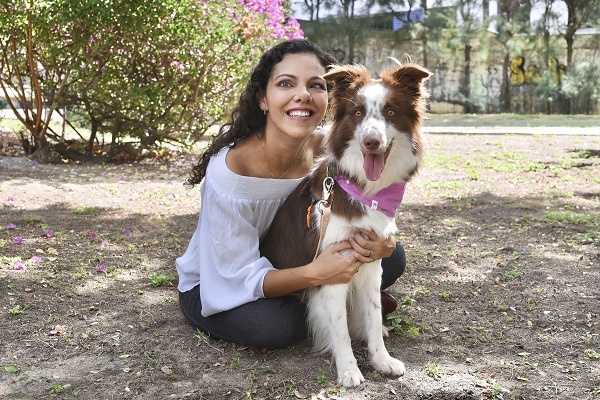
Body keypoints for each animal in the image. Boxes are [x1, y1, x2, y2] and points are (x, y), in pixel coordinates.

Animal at [260, 61, 428, 386]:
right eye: (358, 113)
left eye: (390, 111)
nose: (371, 142)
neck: (364, 188)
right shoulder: (333, 267)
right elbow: (339, 330)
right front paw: (349, 369)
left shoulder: (372, 262)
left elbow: (373, 316)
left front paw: (381, 359)